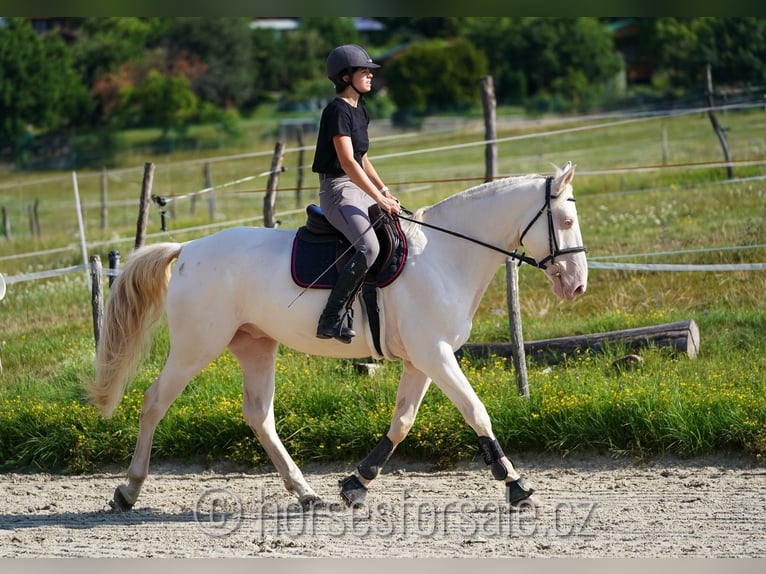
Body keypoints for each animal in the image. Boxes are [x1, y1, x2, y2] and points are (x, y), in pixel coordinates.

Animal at [91, 162, 592, 512]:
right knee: (154, 402)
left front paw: (356, 483)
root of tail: (188, 248)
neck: (445, 254)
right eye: (566, 221)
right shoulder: (435, 354)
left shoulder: (422, 359)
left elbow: (402, 421)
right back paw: (128, 491)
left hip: (255, 345)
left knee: (259, 415)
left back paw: (306, 493)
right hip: (196, 347)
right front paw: (517, 486)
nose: (577, 286)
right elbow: (476, 412)